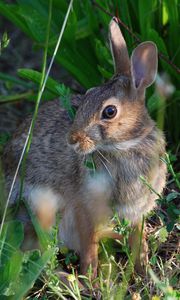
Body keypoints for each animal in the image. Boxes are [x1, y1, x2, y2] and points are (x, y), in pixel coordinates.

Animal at [2, 17, 167, 278]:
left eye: (109, 111)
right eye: (87, 95)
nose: (72, 139)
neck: (125, 146)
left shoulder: (137, 212)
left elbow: (137, 242)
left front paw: (143, 270)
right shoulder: (83, 208)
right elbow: (89, 245)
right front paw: (91, 277)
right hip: (38, 209)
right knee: (35, 255)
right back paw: (69, 279)